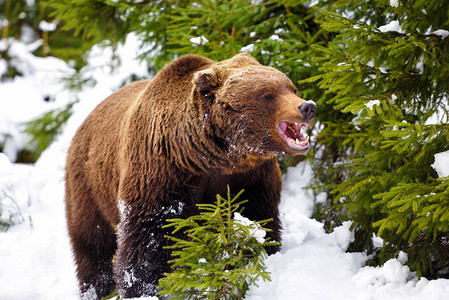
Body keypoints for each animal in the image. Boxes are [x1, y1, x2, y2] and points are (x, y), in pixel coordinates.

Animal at [65, 52, 316, 298]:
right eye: (268, 94)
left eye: (292, 88)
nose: (308, 106)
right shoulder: (160, 173)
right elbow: (146, 241)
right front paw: (143, 288)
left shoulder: (251, 178)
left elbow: (258, 219)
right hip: (89, 186)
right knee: (93, 245)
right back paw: (98, 290)